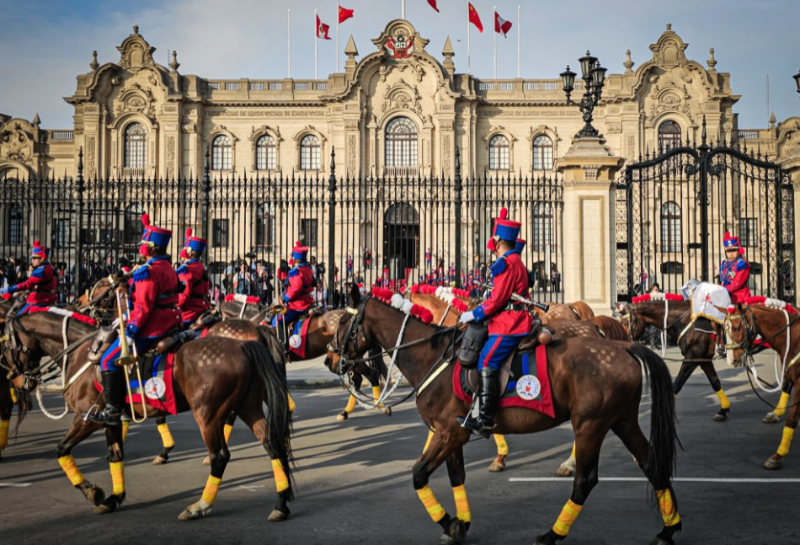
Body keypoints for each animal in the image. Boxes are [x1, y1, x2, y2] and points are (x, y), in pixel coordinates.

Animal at [3, 308, 296, 520]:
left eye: (5, 346)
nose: (17, 381)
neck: (82, 353)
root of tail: (243, 343)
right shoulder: (111, 418)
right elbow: (115, 455)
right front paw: (114, 498)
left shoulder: (87, 418)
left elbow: (62, 450)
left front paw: (92, 492)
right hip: (249, 406)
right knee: (272, 444)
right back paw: (281, 504)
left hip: (208, 414)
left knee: (220, 456)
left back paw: (200, 505)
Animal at [324, 284, 680, 544]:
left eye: (342, 322)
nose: (331, 360)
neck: (432, 353)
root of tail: (627, 347)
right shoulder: (452, 432)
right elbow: (456, 476)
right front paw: (461, 522)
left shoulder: (450, 431)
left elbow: (419, 474)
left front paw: (449, 523)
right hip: (622, 421)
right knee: (652, 464)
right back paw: (667, 529)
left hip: (591, 425)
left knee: (586, 480)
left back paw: (552, 533)